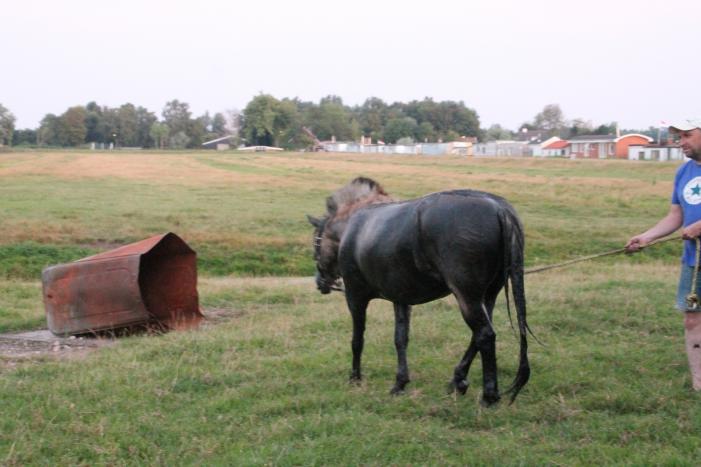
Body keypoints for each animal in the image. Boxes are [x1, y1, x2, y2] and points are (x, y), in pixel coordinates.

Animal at [307, 177, 531, 405]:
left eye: (316, 240)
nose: (319, 282)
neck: (354, 229)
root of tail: (499, 209)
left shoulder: (355, 296)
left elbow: (357, 340)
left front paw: (355, 378)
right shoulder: (400, 298)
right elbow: (400, 339)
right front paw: (400, 383)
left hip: (467, 296)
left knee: (485, 335)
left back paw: (488, 395)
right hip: (488, 295)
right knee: (478, 336)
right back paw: (458, 380)